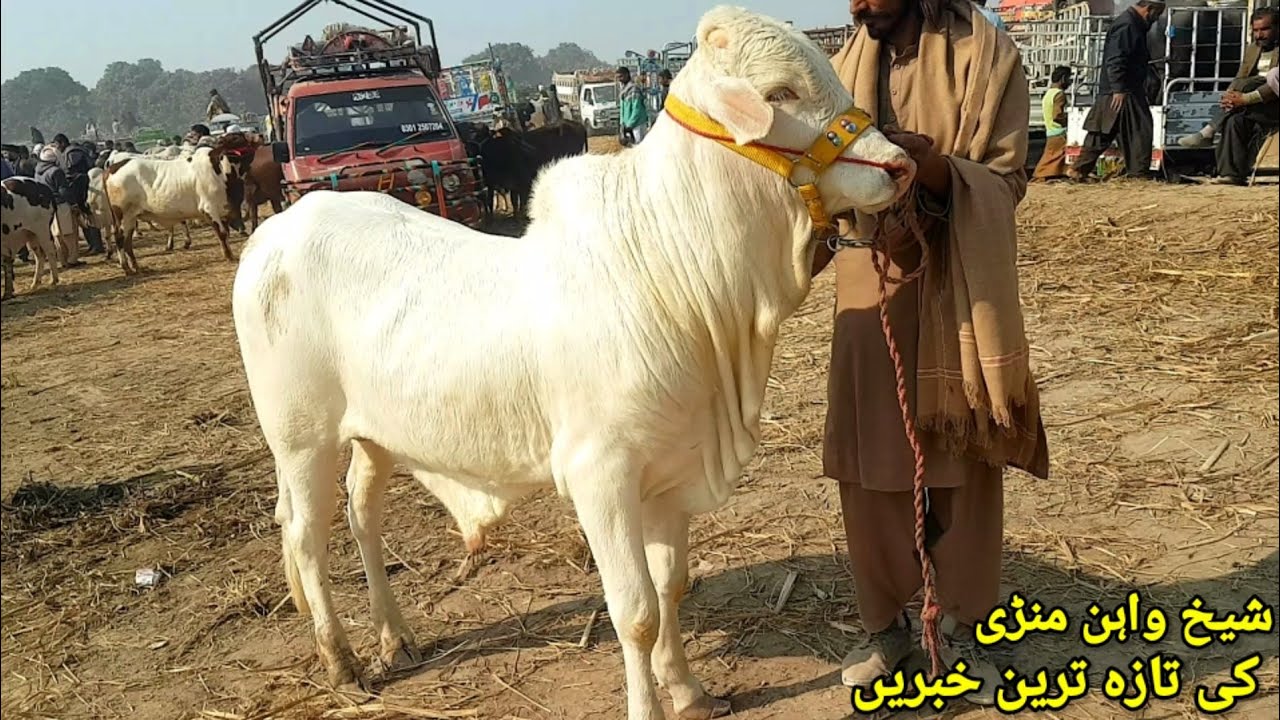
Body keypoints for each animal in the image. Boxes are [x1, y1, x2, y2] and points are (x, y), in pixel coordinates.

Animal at [231, 7, 912, 720]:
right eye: (781, 92)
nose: (901, 166)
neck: (680, 274)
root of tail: (272, 234)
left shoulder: (672, 470)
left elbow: (671, 585)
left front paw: (686, 687)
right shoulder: (600, 475)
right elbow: (636, 611)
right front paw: (649, 702)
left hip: (375, 436)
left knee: (362, 517)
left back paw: (396, 636)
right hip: (300, 439)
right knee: (305, 534)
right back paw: (342, 659)